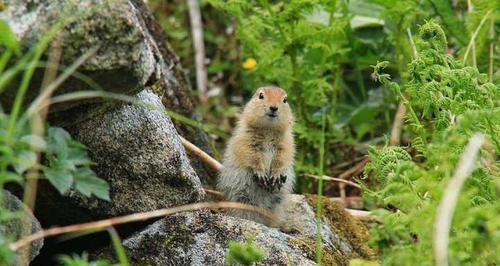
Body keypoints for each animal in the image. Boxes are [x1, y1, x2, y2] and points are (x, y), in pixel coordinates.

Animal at [218, 86, 294, 223]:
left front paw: (276, 175)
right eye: (261, 96)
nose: (273, 107)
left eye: (285, 100)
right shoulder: (245, 139)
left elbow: (283, 157)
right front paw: (261, 174)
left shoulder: (286, 143)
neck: (268, 129)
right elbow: (251, 156)